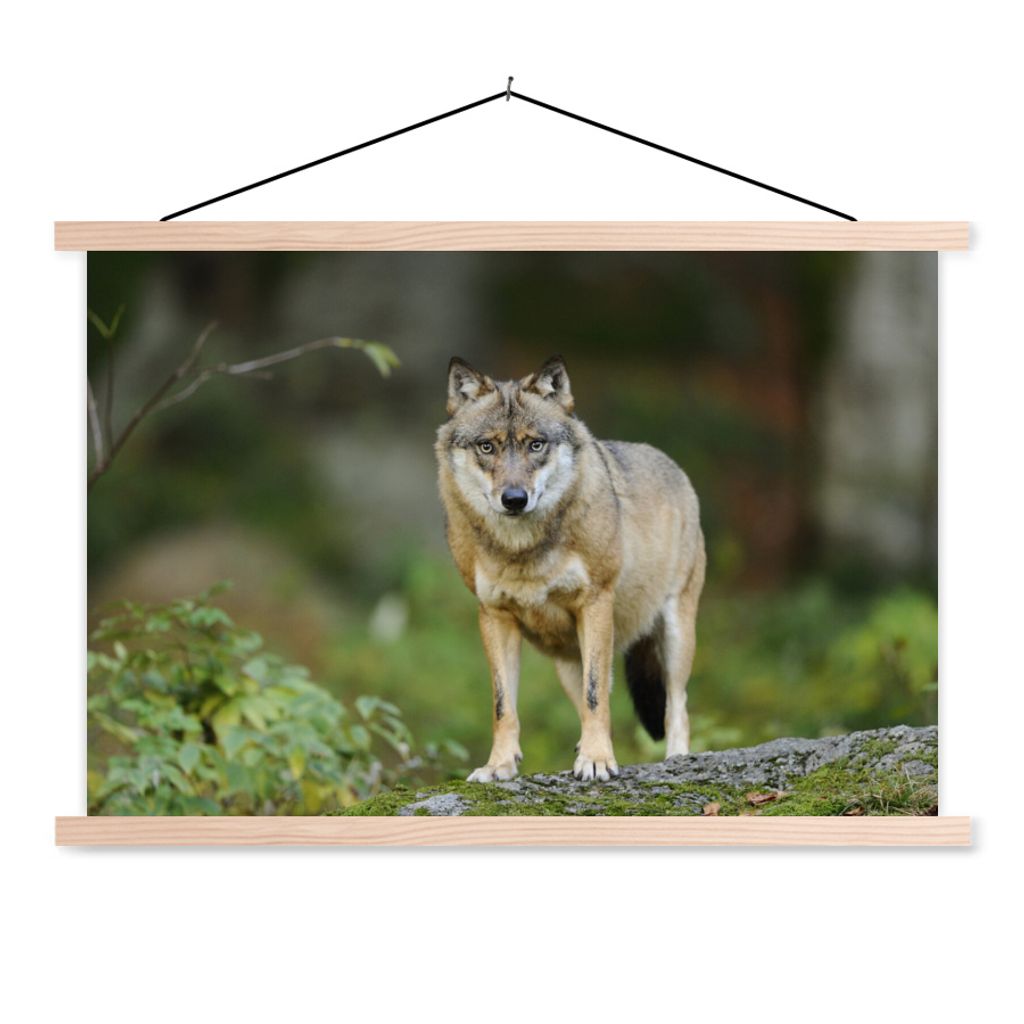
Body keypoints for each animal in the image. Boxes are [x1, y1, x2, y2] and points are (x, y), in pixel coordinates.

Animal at [435, 355, 706, 783]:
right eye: (487, 446)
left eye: (536, 444)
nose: (514, 499)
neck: (523, 552)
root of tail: (672, 464)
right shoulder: (494, 616)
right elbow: (503, 705)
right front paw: (499, 766)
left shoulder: (595, 602)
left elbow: (597, 698)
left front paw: (596, 761)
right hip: (566, 663)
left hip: (675, 634)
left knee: (676, 705)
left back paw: (675, 760)